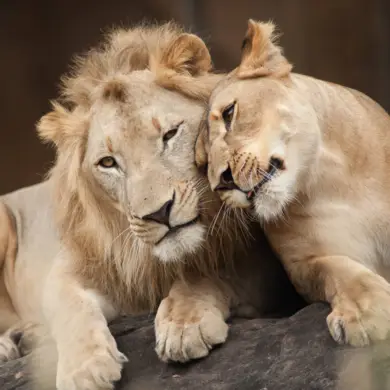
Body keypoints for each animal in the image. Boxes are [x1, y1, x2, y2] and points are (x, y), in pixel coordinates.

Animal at [0, 22, 300, 390]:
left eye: (170, 134)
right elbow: (69, 305)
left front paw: (185, 323)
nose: (158, 213)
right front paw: (85, 368)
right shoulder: (75, 265)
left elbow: (211, 273)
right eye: (108, 162)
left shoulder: (262, 261)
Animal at [198, 18, 390, 348]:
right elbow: (337, 270)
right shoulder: (305, 263)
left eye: (229, 113)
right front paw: (366, 312)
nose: (222, 183)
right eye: (201, 164)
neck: (332, 182)